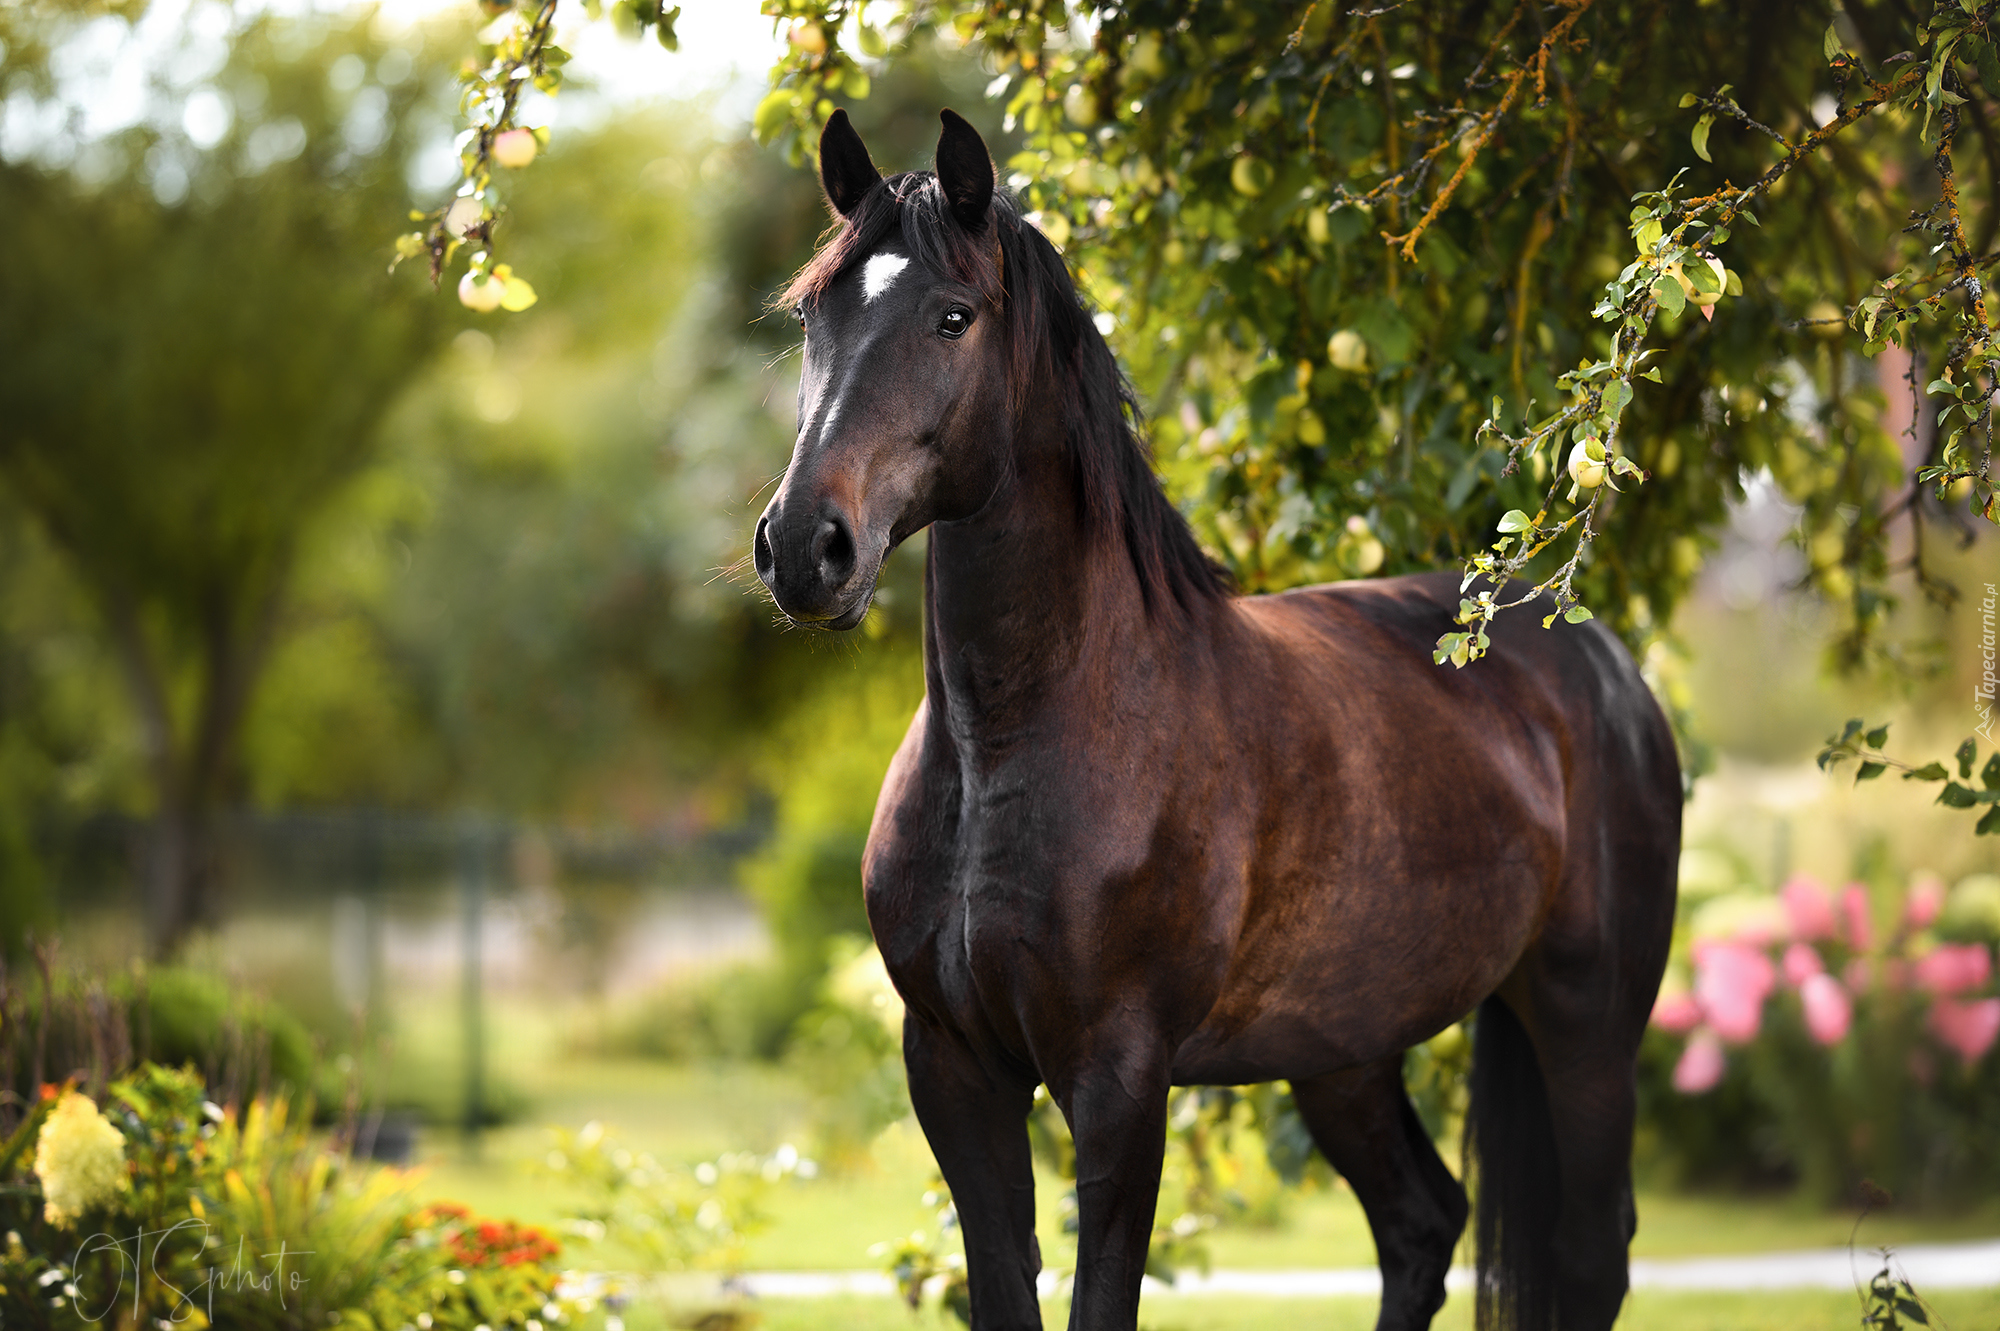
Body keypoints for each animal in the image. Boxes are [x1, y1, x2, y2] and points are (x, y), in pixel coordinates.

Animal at [752, 108, 1688, 1319]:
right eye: (812, 315)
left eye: (952, 316)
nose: (803, 548)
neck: (1018, 738)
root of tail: (1600, 661)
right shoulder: (954, 1072)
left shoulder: (1117, 1081)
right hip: (1344, 1049)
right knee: (1421, 1223)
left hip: (1585, 1022)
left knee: (1588, 1250)